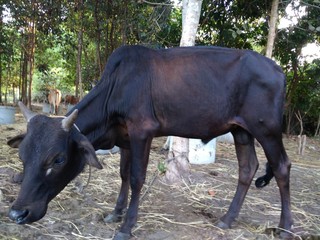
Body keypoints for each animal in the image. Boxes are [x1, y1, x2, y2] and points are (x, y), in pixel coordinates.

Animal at [6, 45, 292, 240]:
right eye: (22, 156)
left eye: (58, 159)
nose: (17, 214)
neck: (116, 87)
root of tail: (277, 69)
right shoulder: (124, 138)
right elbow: (123, 175)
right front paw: (116, 213)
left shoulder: (142, 131)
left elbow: (136, 178)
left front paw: (126, 226)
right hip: (240, 131)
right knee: (247, 168)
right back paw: (227, 219)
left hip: (267, 129)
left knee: (282, 168)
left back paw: (285, 227)